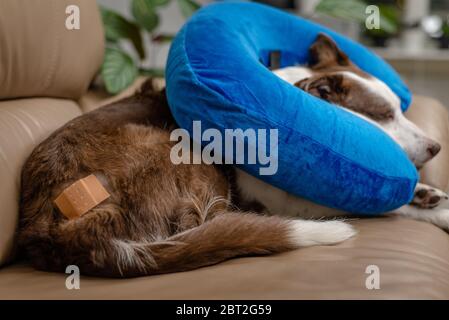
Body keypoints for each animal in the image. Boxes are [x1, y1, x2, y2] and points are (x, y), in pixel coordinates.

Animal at [15, 33, 446, 276]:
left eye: (401, 109)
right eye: (384, 115)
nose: (436, 147)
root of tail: (60, 230)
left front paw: (429, 196)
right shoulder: (280, 199)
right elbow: (381, 205)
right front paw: (431, 205)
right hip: (185, 154)